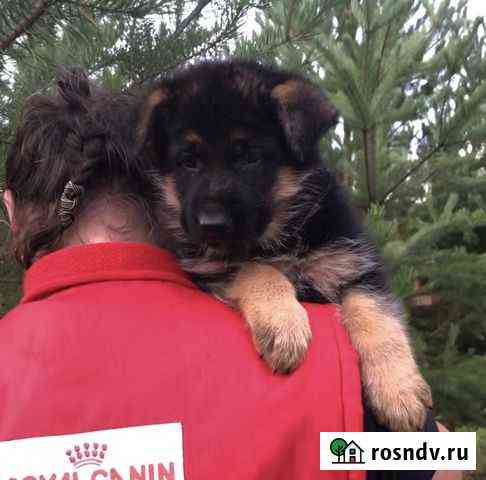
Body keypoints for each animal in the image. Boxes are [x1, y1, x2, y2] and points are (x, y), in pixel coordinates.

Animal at [138, 59, 432, 432]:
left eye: (249, 157)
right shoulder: (209, 268)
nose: (210, 225)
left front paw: (398, 390)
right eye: (188, 162)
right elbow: (256, 268)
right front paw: (283, 324)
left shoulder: (354, 264)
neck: (280, 237)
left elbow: (376, 315)